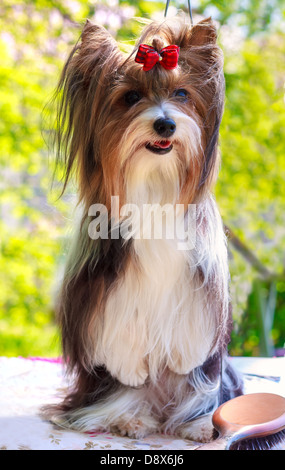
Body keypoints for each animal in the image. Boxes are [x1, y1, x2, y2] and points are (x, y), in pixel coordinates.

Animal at [48, 15, 242, 444]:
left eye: (183, 94)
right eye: (131, 97)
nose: (166, 123)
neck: (155, 183)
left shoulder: (202, 276)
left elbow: (194, 330)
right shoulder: (103, 280)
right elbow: (116, 323)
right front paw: (130, 370)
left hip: (209, 381)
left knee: (202, 387)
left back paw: (200, 422)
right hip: (106, 385)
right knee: (122, 392)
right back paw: (130, 417)